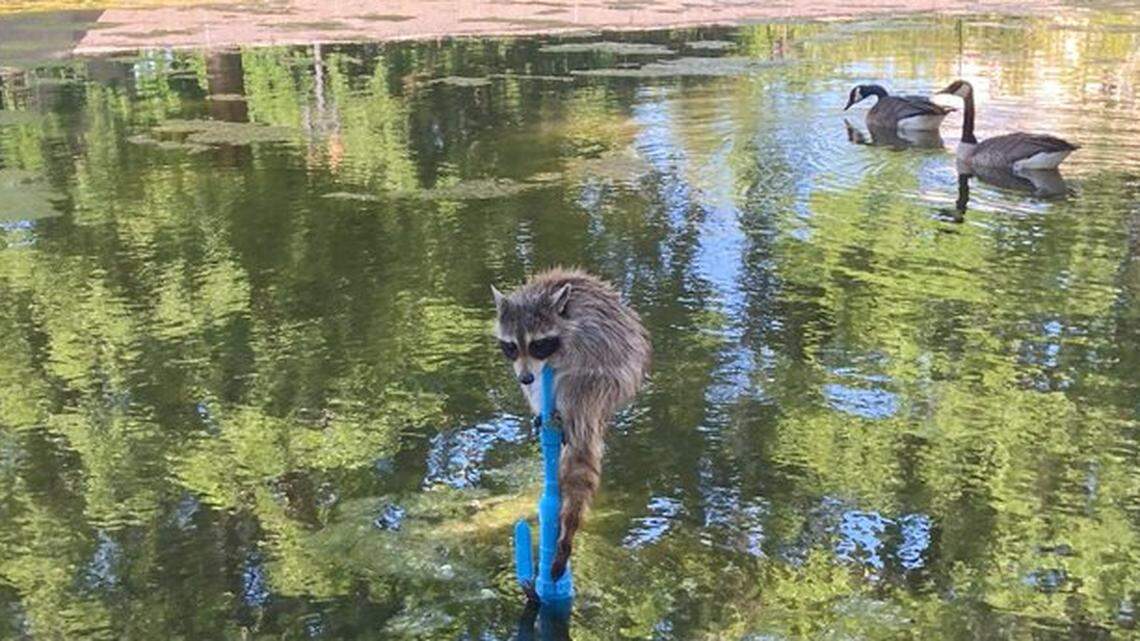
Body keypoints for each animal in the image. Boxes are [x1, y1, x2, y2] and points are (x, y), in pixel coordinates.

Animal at [492, 267, 651, 579]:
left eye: (538, 344)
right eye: (511, 347)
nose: (525, 377)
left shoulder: (590, 335)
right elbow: (535, 384)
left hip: (610, 378)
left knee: (574, 384)